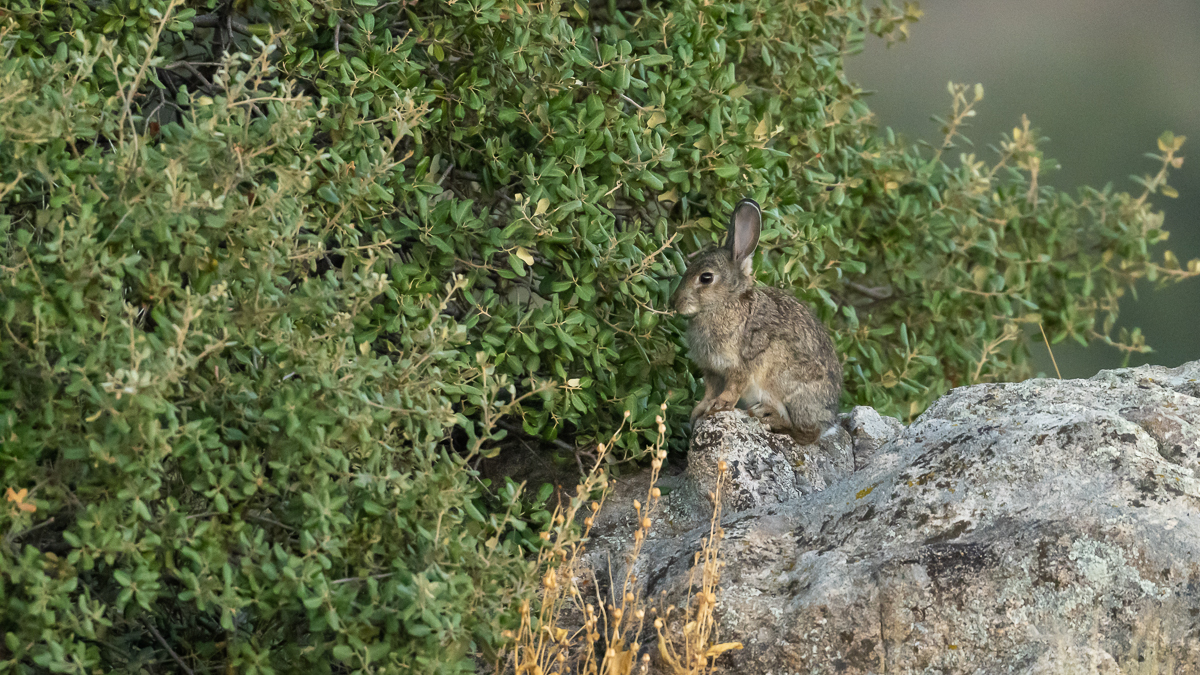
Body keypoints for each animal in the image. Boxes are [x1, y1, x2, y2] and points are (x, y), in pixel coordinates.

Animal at [671, 198, 842, 445]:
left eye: (706, 277)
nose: (674, 302)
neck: (726, 303)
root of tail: (829, 422)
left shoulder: (741, 364)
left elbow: (732, 388)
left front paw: (719, 406)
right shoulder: (712, 370)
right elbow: (710, 391)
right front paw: (700, 411)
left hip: (786, 383)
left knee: (805, 433)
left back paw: (769, 416)